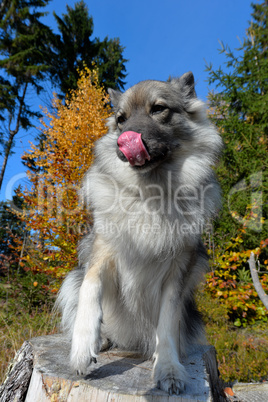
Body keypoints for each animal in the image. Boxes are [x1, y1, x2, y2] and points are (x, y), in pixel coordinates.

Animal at [56, 70, 222, 394]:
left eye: (158, 109)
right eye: (121, 119)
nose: (124, 143)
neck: (151, 193)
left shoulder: (178, 272)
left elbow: (167, 324)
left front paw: (168, 367)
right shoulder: (101, 253)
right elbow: (90, 291)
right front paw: (82, 347)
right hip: (72, 278)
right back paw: (103, 339)